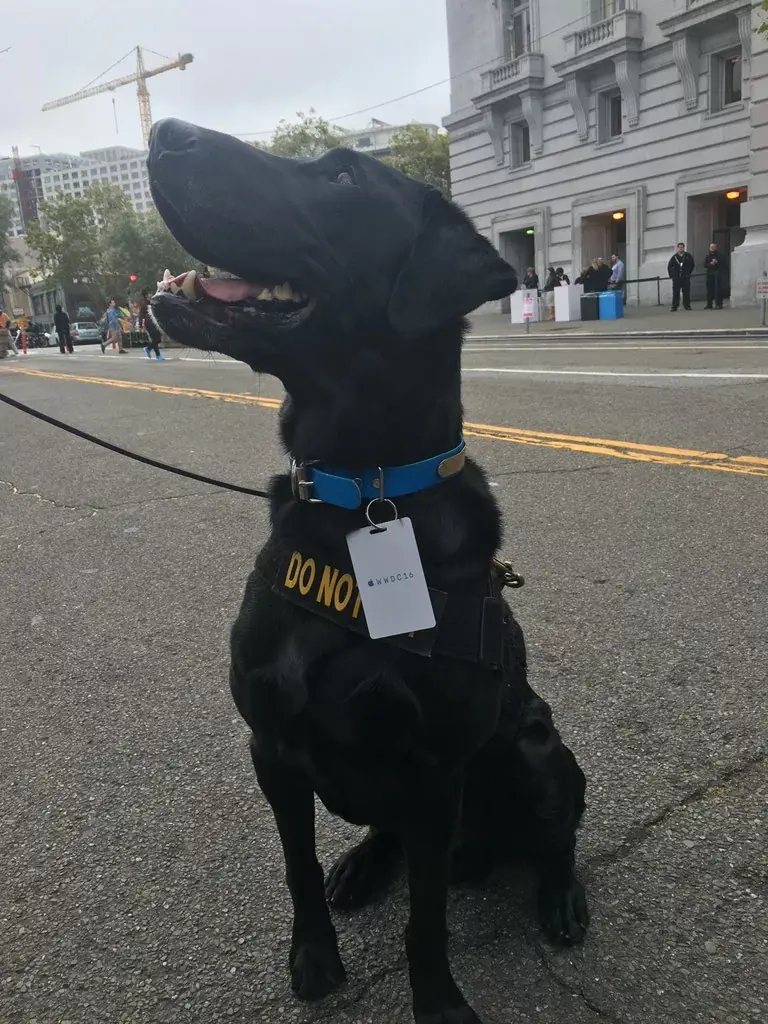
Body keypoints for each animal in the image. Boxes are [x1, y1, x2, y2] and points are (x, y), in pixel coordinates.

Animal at [148, 121, 589, 1024]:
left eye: (344, 178)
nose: (165, 132)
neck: (362, 499)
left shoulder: (433, 775)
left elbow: (428, 921)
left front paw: (441, 1004)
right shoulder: (272, 746)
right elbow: (299, 867)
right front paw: (314, 955)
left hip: (538, 748)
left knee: (557, 838)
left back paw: (561, 899)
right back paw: (362, 866)